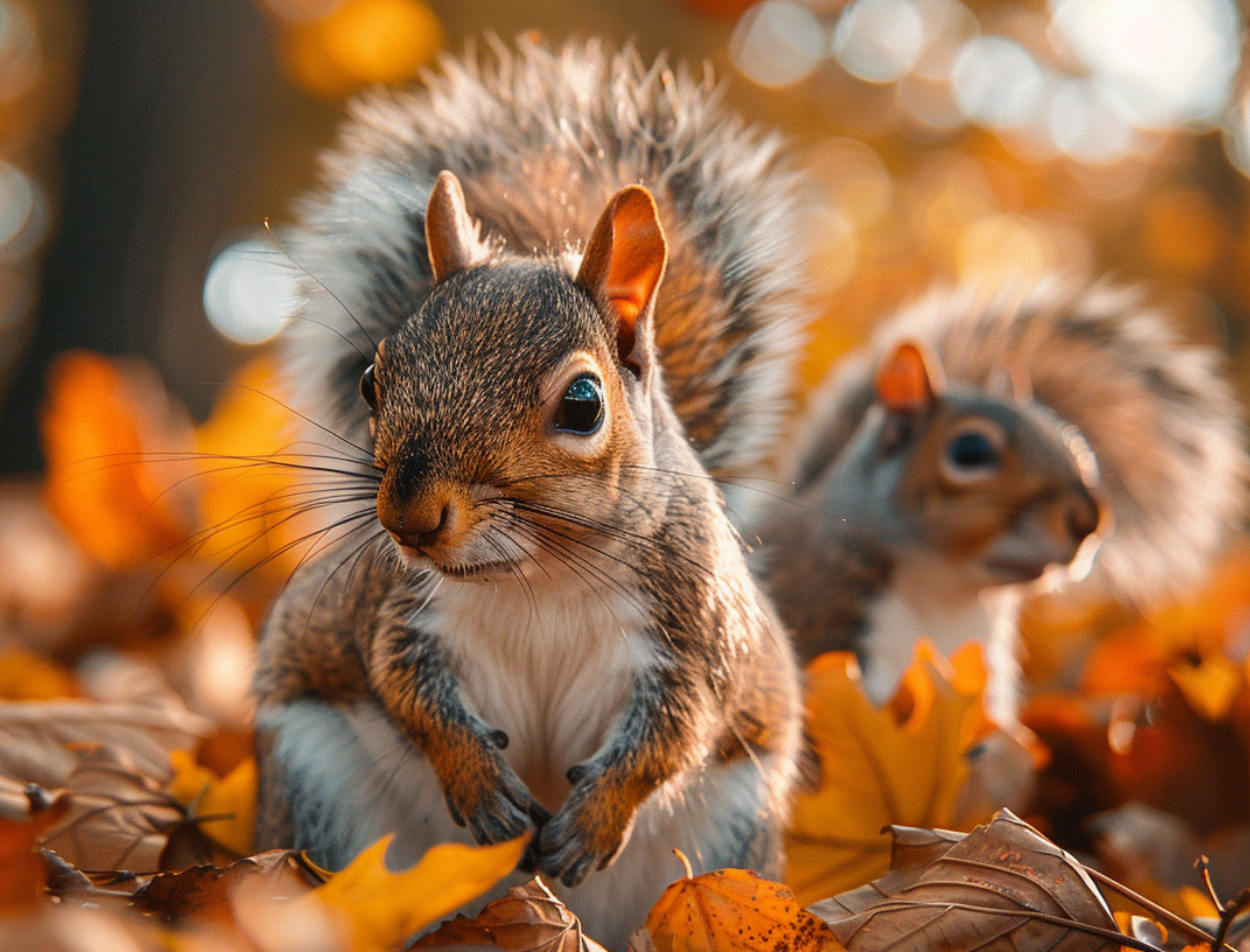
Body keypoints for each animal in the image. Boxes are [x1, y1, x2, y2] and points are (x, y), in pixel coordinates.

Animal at [251, 38, 810, 949]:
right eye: (373, 379)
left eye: (583, 405)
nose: (408, 517)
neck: (539, 572)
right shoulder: (398, 609)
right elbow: (403, 685)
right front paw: (479, 782)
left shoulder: (692, 630)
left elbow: (676, 731)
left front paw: (594, 818)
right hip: (318, 785)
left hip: (731, 826)